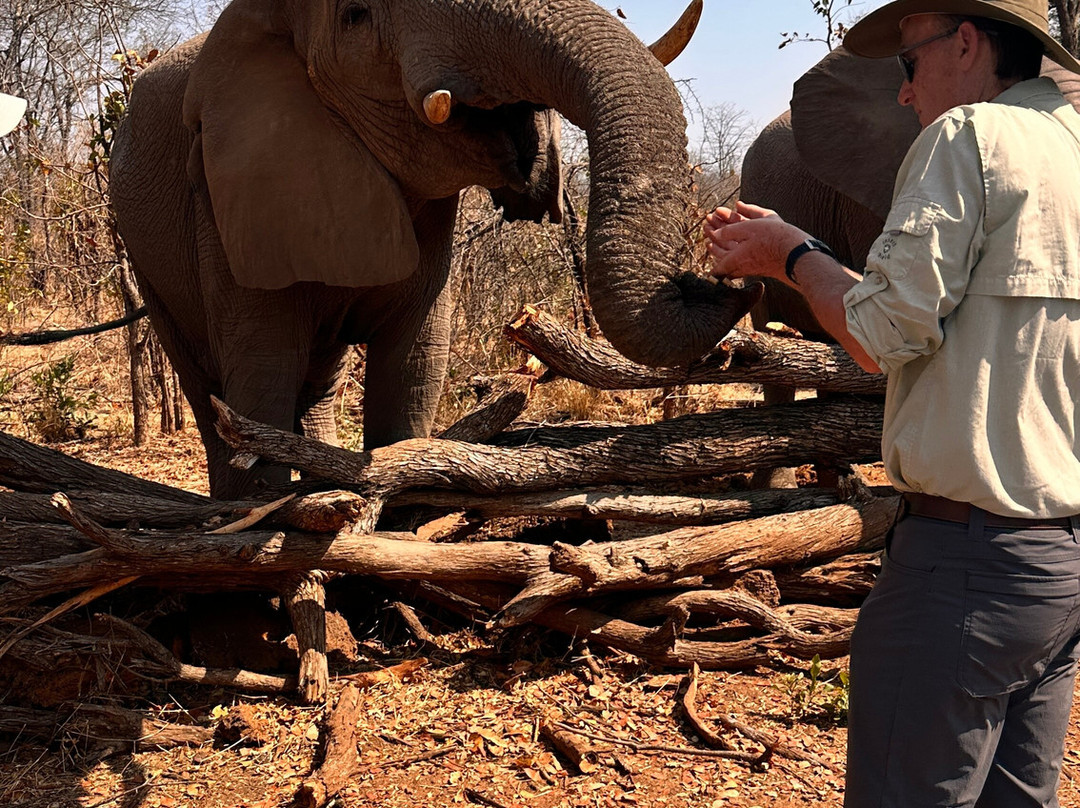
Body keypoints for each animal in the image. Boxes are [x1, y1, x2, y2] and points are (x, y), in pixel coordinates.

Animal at [109, 0, 762, 499]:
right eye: (354, 17)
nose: (722, 280)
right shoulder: (226, 196)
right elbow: (259, 378)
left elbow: (414, 368)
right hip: (147, 260)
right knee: (207, 389)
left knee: (317, 381)